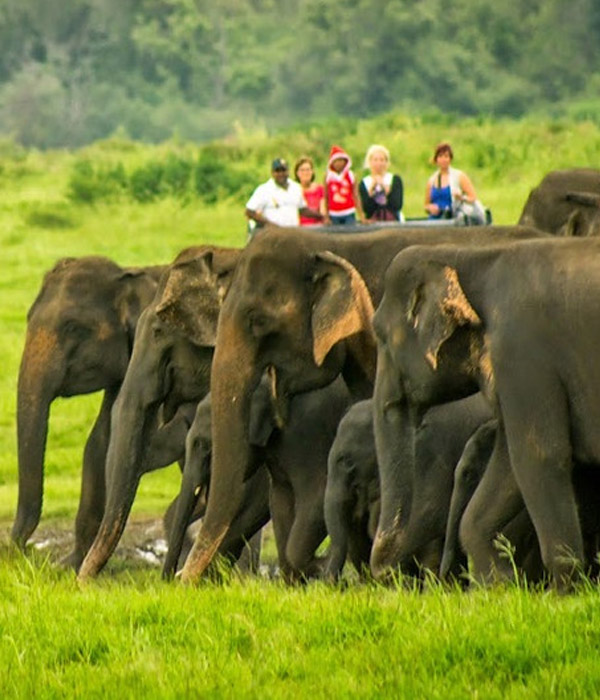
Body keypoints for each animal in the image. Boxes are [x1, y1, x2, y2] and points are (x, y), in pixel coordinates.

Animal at [370, 237, 600, 592]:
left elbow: (538, 455)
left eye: (381, 336)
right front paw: (500, 585)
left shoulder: (522, 357)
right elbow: (507, 465)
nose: (390, 577)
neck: (473, 255)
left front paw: (563, 594)